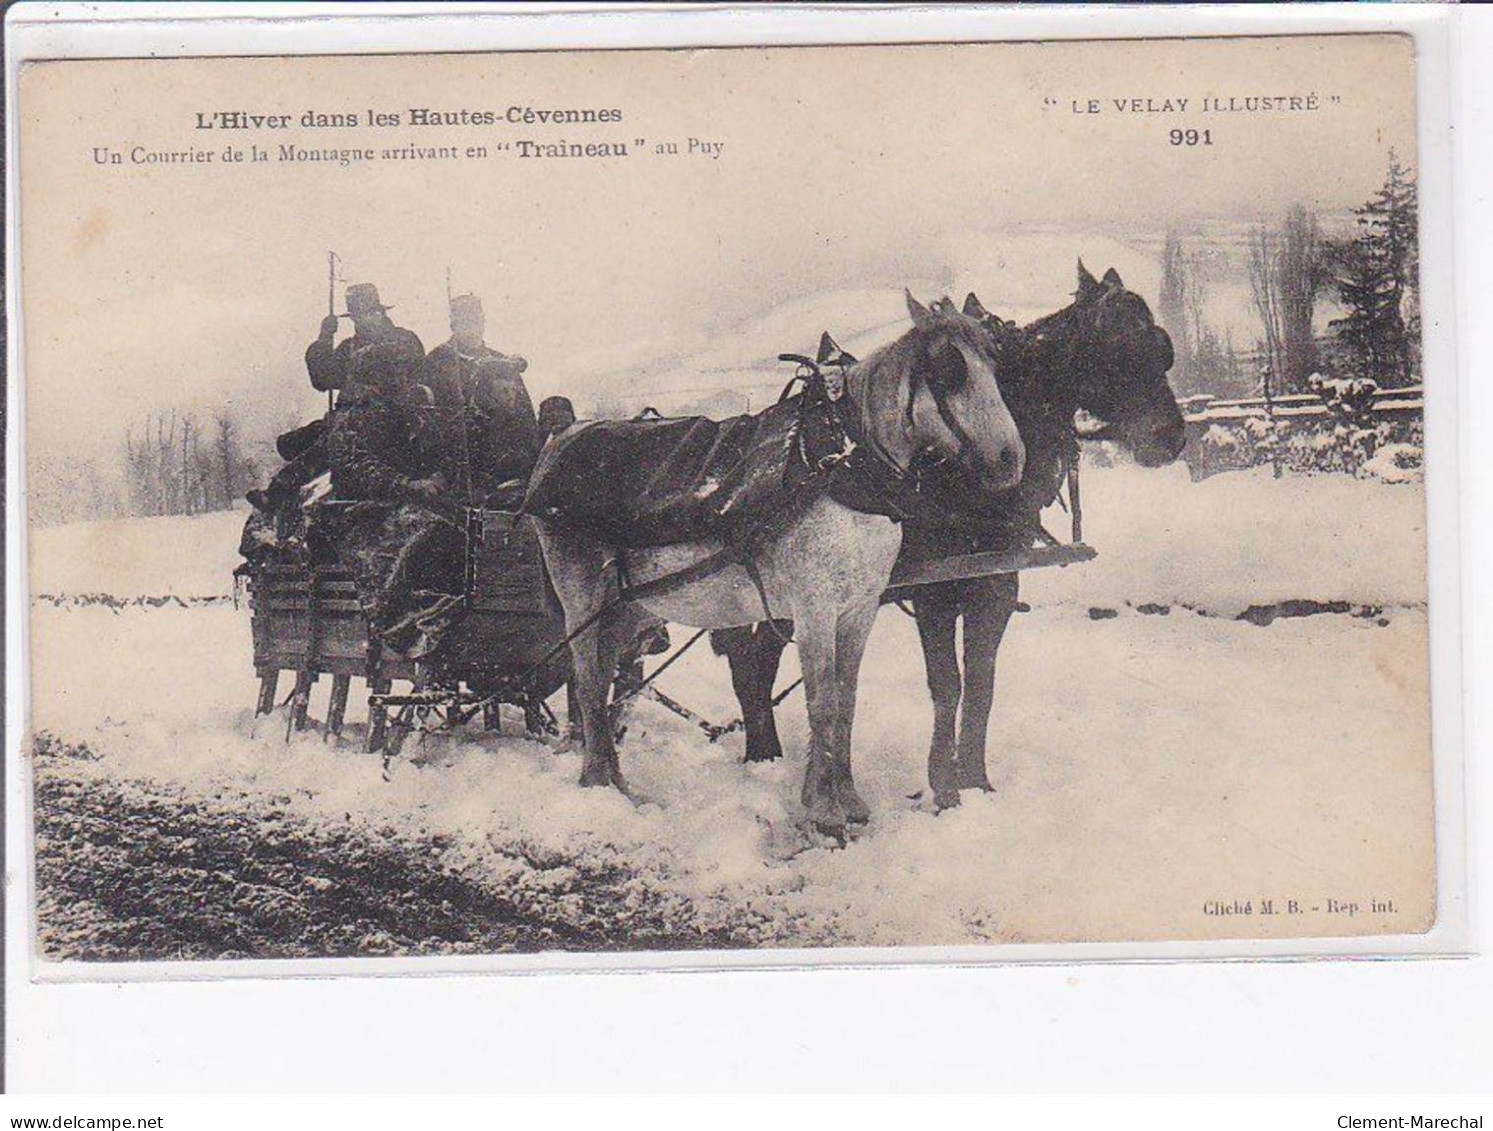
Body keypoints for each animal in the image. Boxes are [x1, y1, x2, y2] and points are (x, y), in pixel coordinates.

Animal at [716, 264, 1182, 805]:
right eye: (1114, 348)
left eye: (1162, 347)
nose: (1171, 437)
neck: (961, 476)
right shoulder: (935, 591)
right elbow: (947, 685)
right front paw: (943, 785)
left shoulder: (996, 584)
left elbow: (981, 684)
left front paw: (975, 779)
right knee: (748, 657)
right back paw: (761, 752)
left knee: (760, 655)